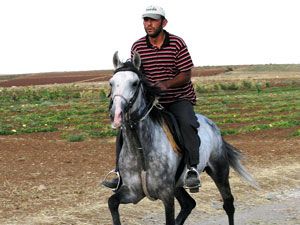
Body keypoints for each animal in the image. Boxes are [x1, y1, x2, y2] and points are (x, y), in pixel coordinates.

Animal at [106, 51, 256, 225]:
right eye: (111, 83)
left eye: (135, 83)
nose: (116, 115)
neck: (141, 149)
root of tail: (212, 124)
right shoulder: (133, 192)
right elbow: (112, 203)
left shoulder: (166, 195)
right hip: (178, 185)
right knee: (189, 204)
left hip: (219, 170)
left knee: (228, 204)